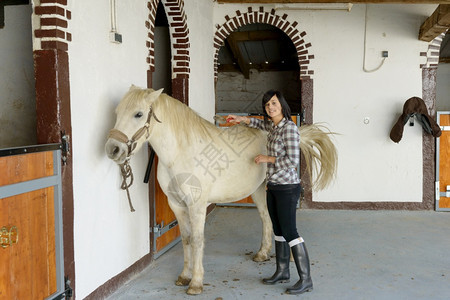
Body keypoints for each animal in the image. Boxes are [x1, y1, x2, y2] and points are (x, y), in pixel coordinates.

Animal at [105, 85, 338, 294]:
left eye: (138, 114)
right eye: (117, 112)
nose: (112, 149)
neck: (181, 154)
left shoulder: (197, 205)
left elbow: (197, 240)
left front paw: (196, 283)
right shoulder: (176, 204)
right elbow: (186, 239)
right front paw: (184, 277)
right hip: (259, 190)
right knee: (266, 218)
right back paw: (262, 254)